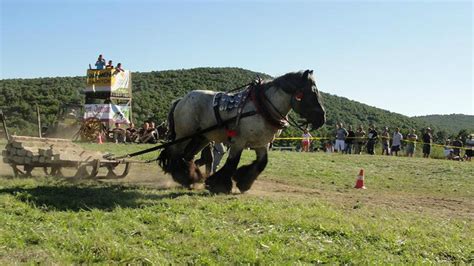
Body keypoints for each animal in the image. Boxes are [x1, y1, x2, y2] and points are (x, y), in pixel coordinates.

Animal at [159, 69, 326, 193]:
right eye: (310, 93)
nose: (322, 118)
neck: (262, 107)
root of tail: (181, 100)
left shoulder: (261, 144)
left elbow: (262, 163)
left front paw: (243, 182)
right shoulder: (238, 141)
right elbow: (232, 162)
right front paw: (218, 185)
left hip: (201, 137)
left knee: (187, 156)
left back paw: (189, 178)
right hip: (185, 135)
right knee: (176, 153)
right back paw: (185, 177)